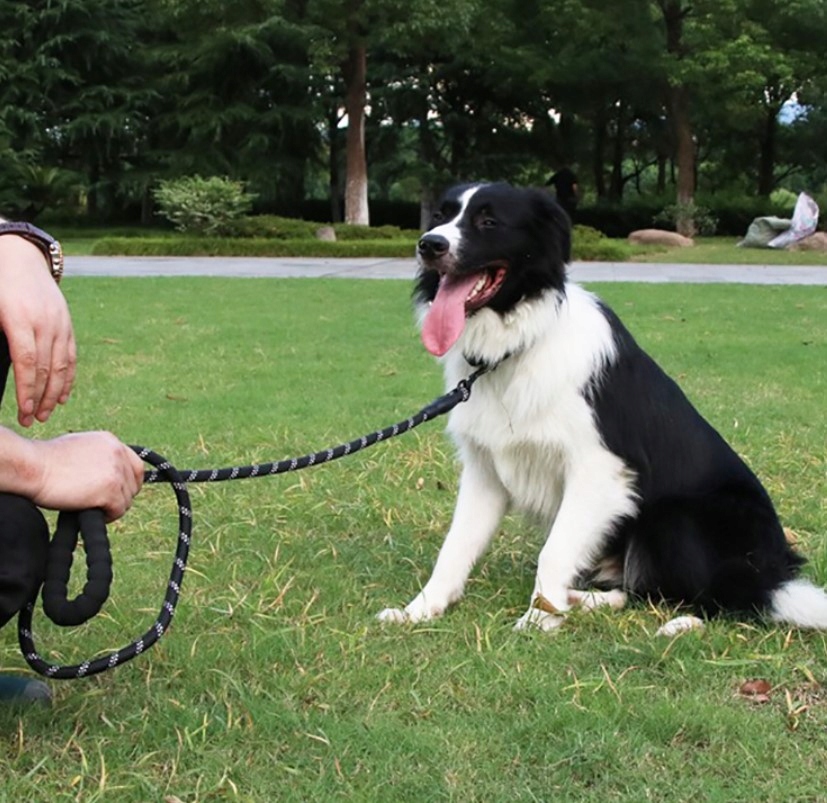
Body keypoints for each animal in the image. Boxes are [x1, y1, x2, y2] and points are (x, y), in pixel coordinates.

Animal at [380, 181, 827, 636]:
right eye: (441, 215)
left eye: (488, 220)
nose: (429, 244)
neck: (518, 345)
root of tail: (773, 571)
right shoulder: (486, 470)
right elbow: (455, 547)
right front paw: (421, 609)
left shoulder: (601, 469)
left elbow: (553, 550)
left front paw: (539, 618)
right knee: (635, 590)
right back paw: (582, 599)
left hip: (678, 518)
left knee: (721, 596)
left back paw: (679, 623)